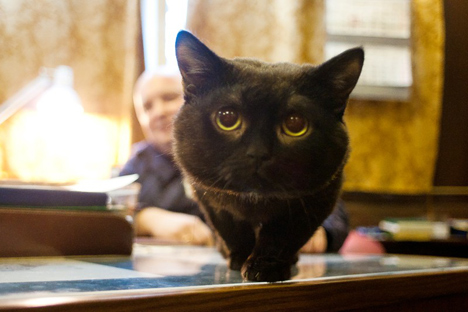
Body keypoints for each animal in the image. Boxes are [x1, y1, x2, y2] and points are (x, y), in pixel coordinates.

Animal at [174, 30, 364, 282]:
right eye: (227, 118)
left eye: (296, 124)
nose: (259, 153)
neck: (254, 200)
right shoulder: (208, 196)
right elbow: (232, 229)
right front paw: (239, 258)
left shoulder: (317, 198)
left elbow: (282, 235)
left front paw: (265, 267)